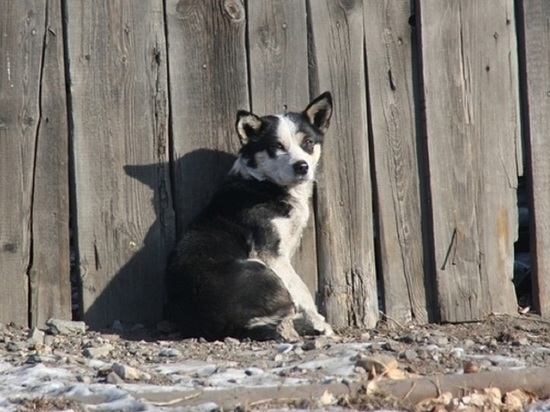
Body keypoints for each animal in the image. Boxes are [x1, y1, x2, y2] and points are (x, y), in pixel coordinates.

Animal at [166, 93, 334, 342]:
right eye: (276, 147)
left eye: (308, 143)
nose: (302, 167)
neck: (265, 184)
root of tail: (229, 326)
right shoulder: (271, 255)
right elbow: (301, 290)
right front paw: (320, 323)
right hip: (258, 267)